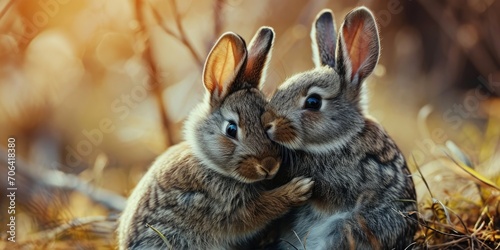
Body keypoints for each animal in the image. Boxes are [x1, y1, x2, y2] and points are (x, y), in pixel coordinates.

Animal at [115, 26, 314, 249]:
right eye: (231, 129)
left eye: (268, 124)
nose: (269, 165)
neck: (210, 164)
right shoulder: (225, 207)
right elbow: (259, 210)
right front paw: (299, 189)